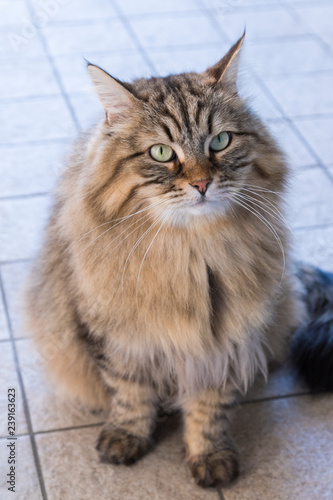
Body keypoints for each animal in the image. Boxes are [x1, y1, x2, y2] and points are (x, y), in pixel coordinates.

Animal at [25, 36, 332, 488]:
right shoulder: (115, 334)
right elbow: (129, 393)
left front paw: (210, 455)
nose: (202, 183)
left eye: (219, 142)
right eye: (161, 152)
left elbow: (210, 407)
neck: (193, 252)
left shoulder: (225, 339)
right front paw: (126, 437)